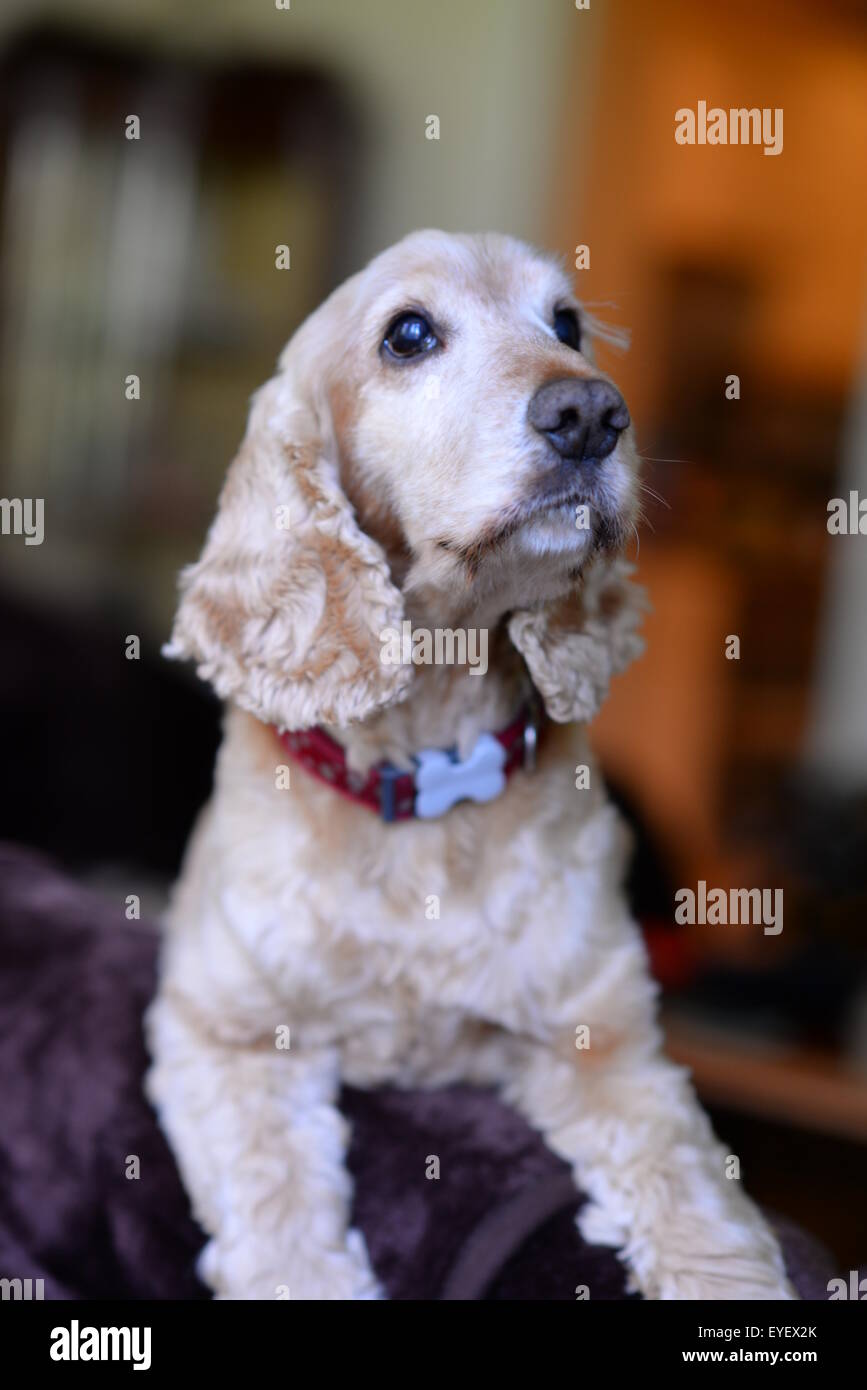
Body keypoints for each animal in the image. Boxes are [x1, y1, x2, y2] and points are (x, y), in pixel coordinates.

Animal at [145, 227, 794, 1301]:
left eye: (567, 324)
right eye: (408, 334)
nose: (590, 413)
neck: (428, 771)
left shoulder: (607, 1039)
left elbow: (697, 1203)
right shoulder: (224, 1030)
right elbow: (280, 1221)